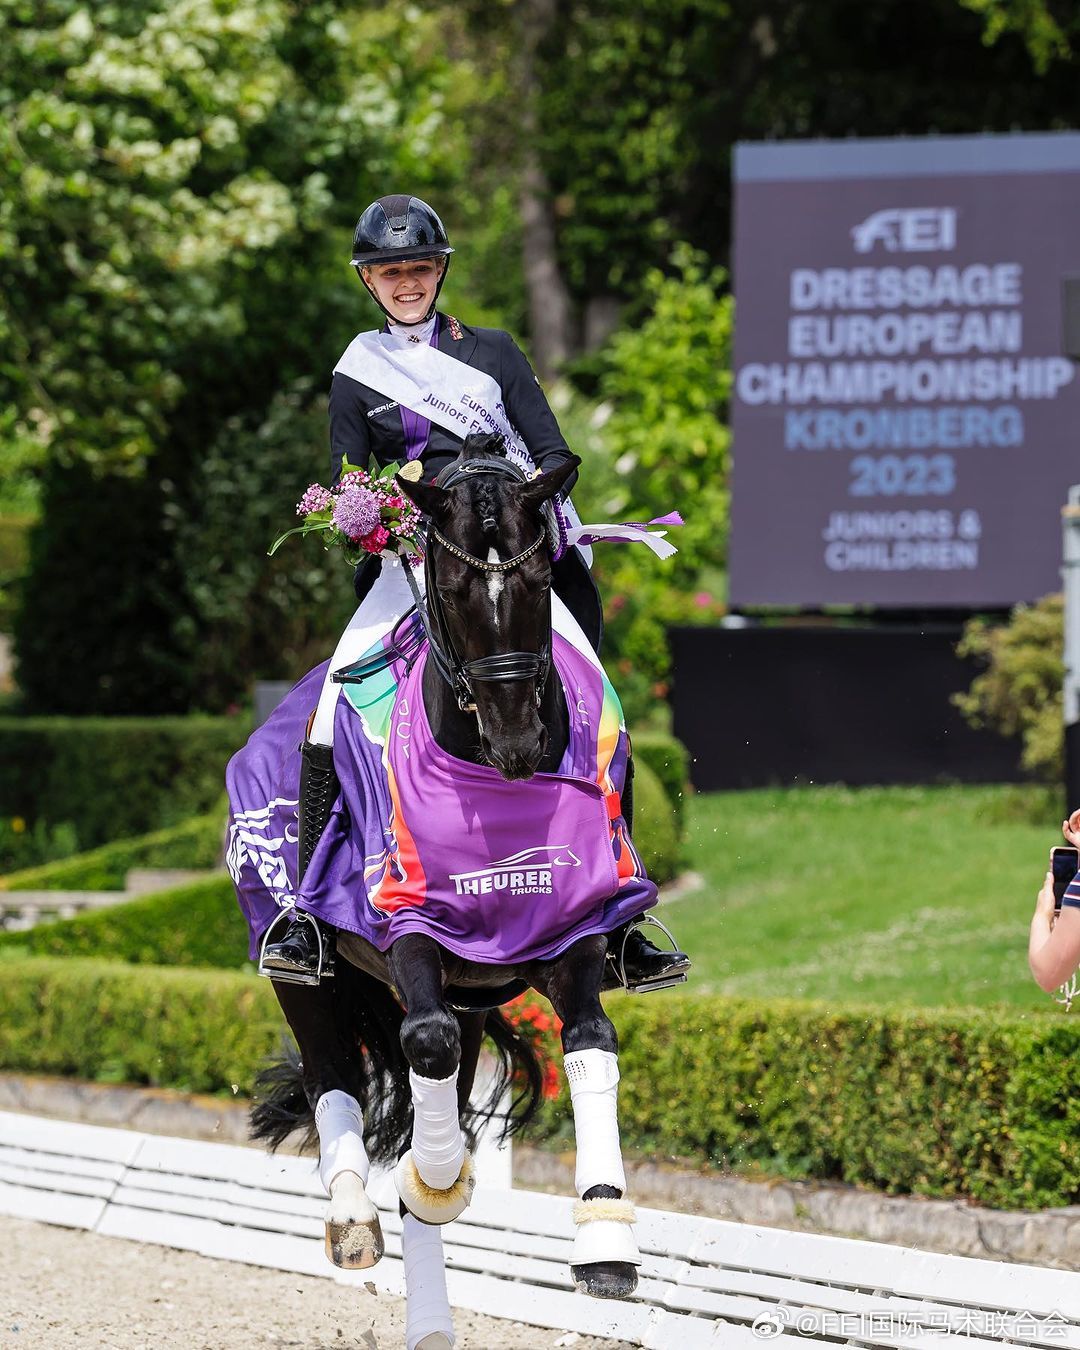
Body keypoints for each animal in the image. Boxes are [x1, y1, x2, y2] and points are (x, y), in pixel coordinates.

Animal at [253, 434, 658, 1339]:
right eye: (453, 587)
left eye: (541, 579)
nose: (517, 742)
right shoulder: (408, 925)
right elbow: (424, 1044)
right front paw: (433, 1174)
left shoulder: (572, 933)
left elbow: (590, 1042)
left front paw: (606, 1244)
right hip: (305, 975)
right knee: (334, 1071)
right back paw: (356, 1218)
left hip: (473, 988)